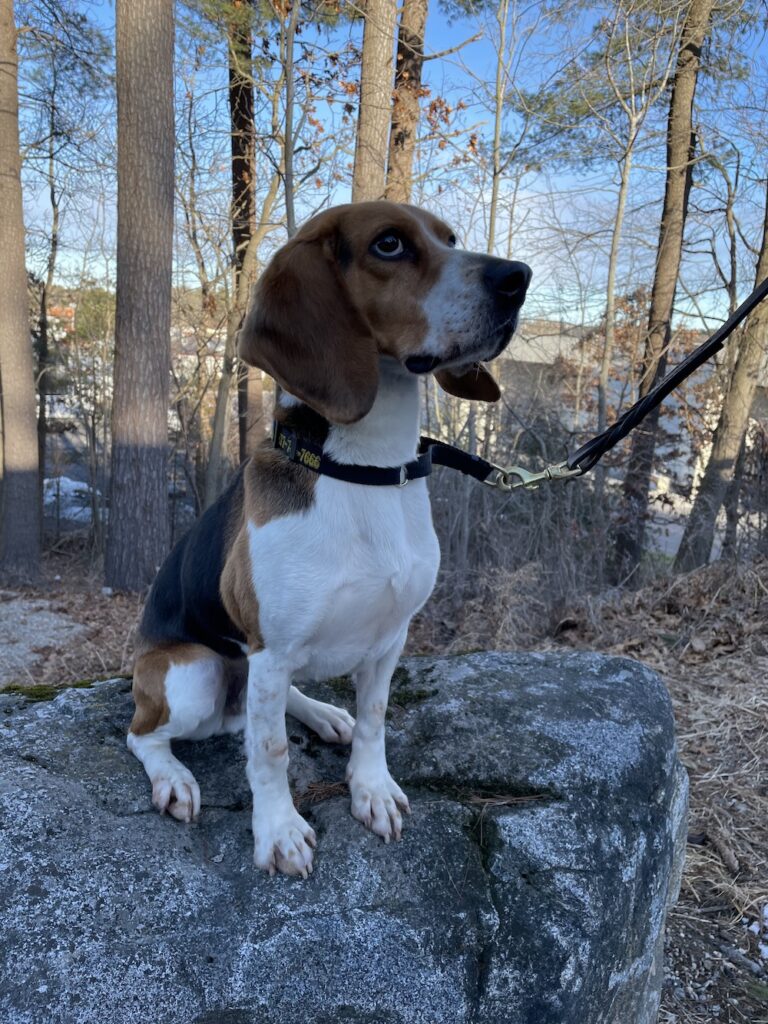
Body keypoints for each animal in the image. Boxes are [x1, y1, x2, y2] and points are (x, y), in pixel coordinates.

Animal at [129, 201, 532, 880]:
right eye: (389, 244)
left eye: (450, 238)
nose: (517, 277)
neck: (365, 468)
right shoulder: (271, 647)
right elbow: (269, 753)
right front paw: (278, 831)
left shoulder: (391, 637)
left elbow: (374, 719)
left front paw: (371, 789)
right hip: (193, 674)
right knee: (146, 733)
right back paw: (174, 778)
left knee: (279, 702)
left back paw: (323, 714)